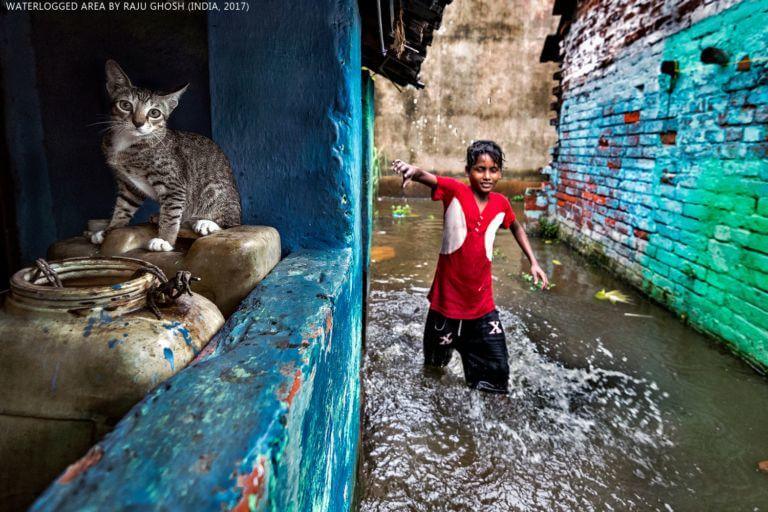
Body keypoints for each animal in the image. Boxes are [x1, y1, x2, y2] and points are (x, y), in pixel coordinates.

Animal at [93, 60, 243, 252]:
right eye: (125, 105)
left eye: (154, 113)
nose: (138, 122)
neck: (128, 144)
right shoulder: (128, 185)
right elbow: (122, 208)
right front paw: (109, 230)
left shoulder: (173, 184)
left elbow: (171, 215)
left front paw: (165, 240)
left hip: (215, 190)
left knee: (232, 222)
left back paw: (206, 223)